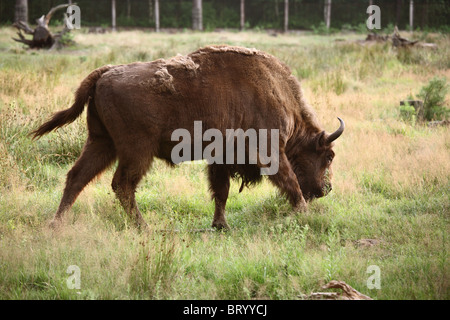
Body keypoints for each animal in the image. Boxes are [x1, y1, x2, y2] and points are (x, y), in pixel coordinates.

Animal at [31, 45, 344, 230]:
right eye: (328, 156)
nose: (326, 189)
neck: (274, 90)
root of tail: (104, 73)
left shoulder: (220, 158)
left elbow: (221, 191)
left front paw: (220, 225)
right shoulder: (269, 151)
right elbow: (289, 181)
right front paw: (304, 212)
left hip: (101, 142)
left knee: (77, 176)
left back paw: (56, 224)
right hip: (136, 151)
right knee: (122, 184)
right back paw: (143, 227)